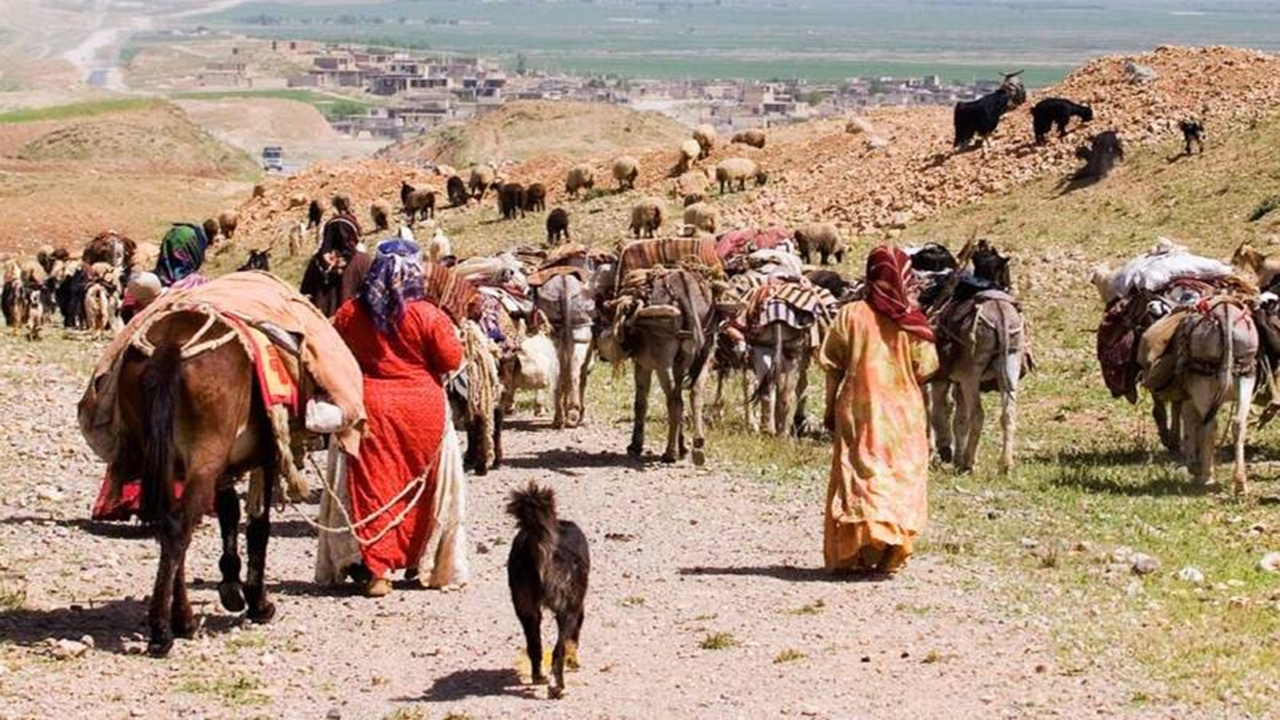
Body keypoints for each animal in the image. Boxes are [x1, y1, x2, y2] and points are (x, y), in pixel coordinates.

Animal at [506, 481, 591, 696]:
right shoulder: (576, 608)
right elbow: (571, 642)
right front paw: (573, 661)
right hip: (566, 610)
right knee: (557, 650)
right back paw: (557, 686)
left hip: (525, 609)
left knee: (534, 645)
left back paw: (539, 676)